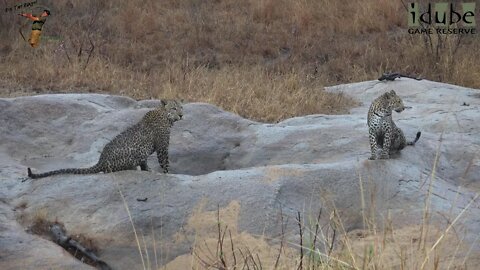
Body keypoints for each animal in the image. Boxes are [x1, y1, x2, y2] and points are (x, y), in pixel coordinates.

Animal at [27, 99, 184, 179]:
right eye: (174, 108)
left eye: (181, 107)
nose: (182, 115)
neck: (165, 115)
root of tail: (101, 160)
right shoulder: (162, 146)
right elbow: (165, 163)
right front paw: (169, 174)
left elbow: (146, 163)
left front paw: (149, 170)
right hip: (129, 157)